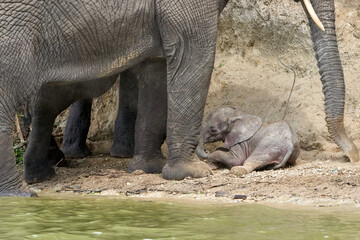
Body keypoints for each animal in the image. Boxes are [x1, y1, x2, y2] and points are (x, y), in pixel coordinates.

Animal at [0, 0, 356, 197]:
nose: (352, 155)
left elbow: (156, 69)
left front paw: (148, 168)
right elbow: (193, 54)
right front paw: (192, 174)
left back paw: (41, 176)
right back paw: (25, 191)